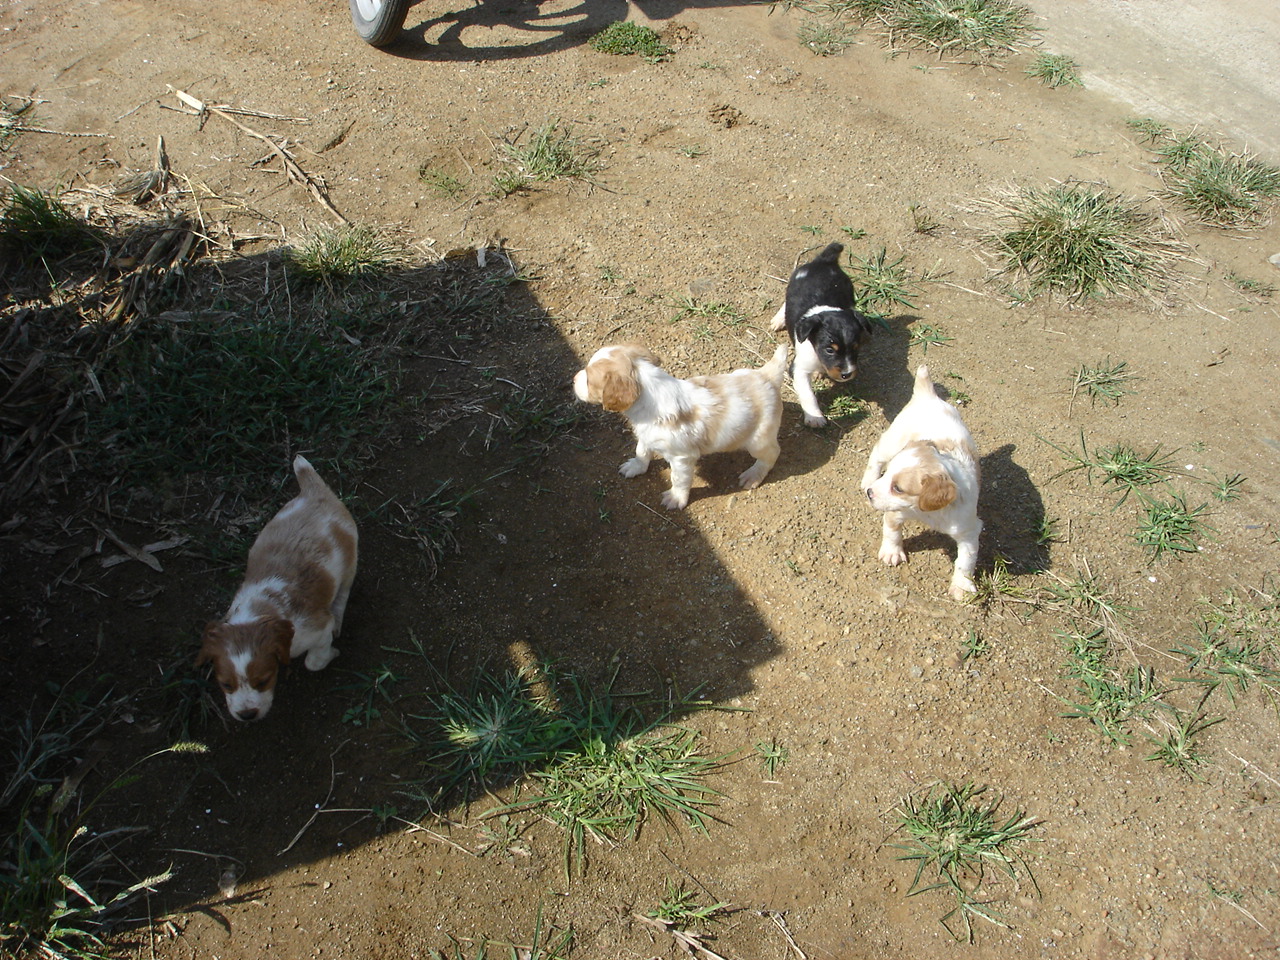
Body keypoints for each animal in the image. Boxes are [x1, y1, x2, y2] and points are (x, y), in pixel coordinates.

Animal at [197, 456, 358, 721]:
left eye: (263, 681)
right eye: (226, 685)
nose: (247, 715)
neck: (259, 611)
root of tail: (313, 491)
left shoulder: (317, 628)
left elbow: (314, 662)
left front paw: (331, 654)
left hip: (350, 562)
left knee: (343, 593)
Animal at [573, 343, 788, 509]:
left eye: (589, 379)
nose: (574, 378)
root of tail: (767, 377)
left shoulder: (681, 458)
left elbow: (679, 480)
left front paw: (676, 499)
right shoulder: (646, 436)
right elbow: (641, 452)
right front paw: (635, 467)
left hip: (758, 440)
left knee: (773, 454)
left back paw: (753, 475)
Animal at [770, 242, 874, 428]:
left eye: (856, 348)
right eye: (830, 350)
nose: (847, 374)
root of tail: (825, 260)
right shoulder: (799, 369)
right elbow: (808, 394)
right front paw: (815, 418)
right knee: (786, 302)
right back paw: (779, 320)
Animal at [860, 365, 981, 601]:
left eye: (898, 488)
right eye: (887, 475)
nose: (870, 493)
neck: (928, 513)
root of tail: (928, 396)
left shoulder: (970, 530)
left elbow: (966, 560)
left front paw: (961, 586)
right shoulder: (895, 512)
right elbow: (892, 532)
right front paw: (892, 552)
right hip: (891, 442)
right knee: (876, 454)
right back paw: (868, 478)